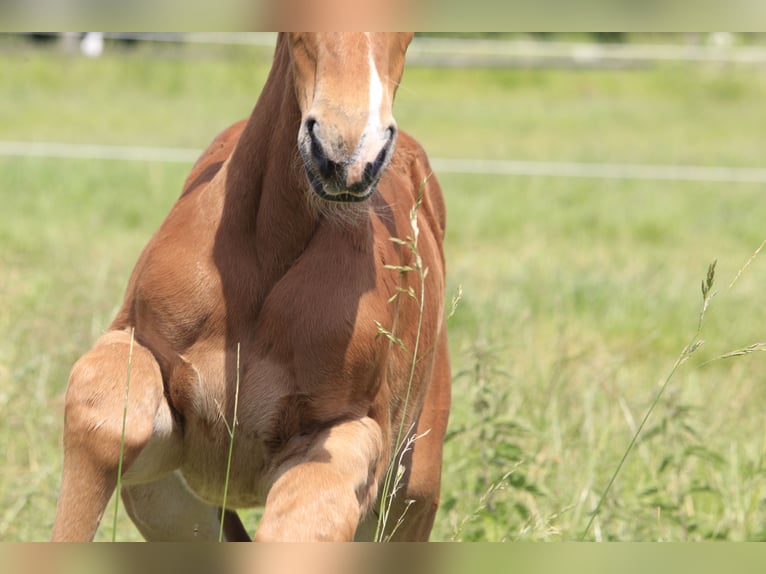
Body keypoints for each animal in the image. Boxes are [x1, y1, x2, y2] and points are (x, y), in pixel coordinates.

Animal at [49, 32, 450, 544]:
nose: (348, 153)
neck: (267, 253)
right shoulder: (137, 353)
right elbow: (101, 413)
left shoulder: (353, 433)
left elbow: (306, 518)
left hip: (412, 495)